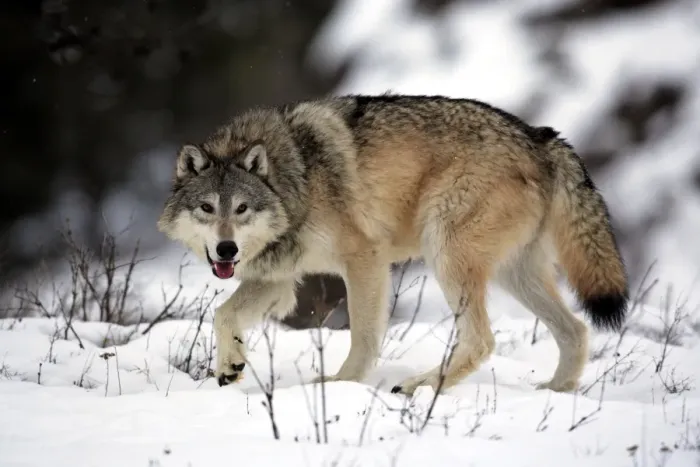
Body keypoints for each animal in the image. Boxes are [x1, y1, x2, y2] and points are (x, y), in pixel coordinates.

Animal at [157, 93, 629, 395]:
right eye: (206, 208)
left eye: (241, 209)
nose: (227, 250)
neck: (298, 177)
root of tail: (540, 135)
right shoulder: (279, 278)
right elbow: (223, 315)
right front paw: (229, 367)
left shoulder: (364, 258)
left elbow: (364, 335)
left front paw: (342, 384)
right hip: (514, 275)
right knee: (576, 330)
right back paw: (556, 390)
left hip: (446, 254)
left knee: (482, 340)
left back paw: (422, 385)